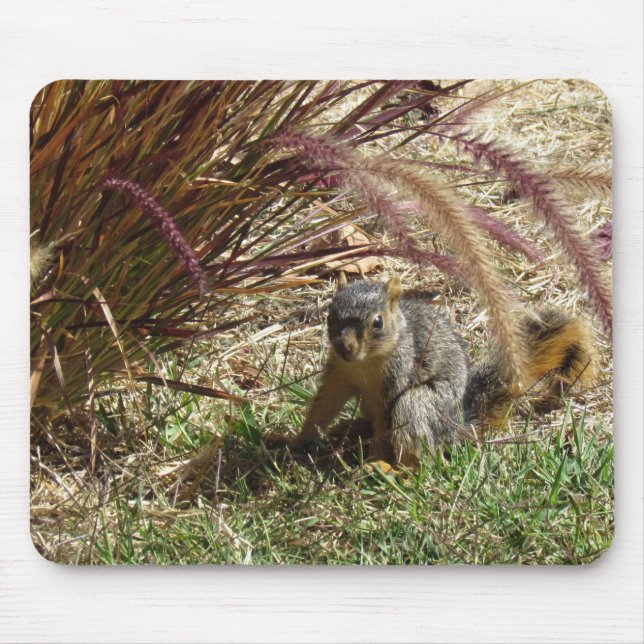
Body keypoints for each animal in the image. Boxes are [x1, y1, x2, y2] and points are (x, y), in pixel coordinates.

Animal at [283, 274, 597, 467]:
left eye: (377, 322)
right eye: (330, 315)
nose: (345, 347)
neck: (364, 363)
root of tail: (457, 425)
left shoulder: (398, 374)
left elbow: (386, 424)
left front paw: (373, 461)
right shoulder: (339, 373)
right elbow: (324, 405)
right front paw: (293, 441)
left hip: (421, 404)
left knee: (419, 452)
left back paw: (395, 471)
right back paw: (349, 428)